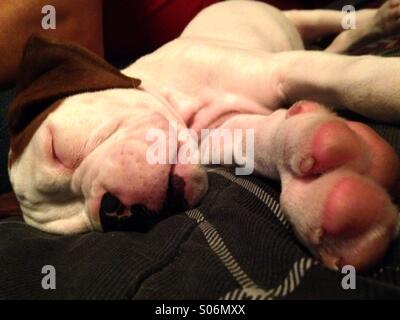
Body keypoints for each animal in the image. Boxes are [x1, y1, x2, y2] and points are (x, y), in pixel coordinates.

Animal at [4, 0, 400, 272]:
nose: (112, 211)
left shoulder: (282, 69)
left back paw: (380, 20)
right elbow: (264, 141)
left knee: (341, 23)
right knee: (337, 43)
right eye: (80, 228)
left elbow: (362, 82)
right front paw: (314, 182)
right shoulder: (229, 129)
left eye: (59, 150)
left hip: (299, 19)